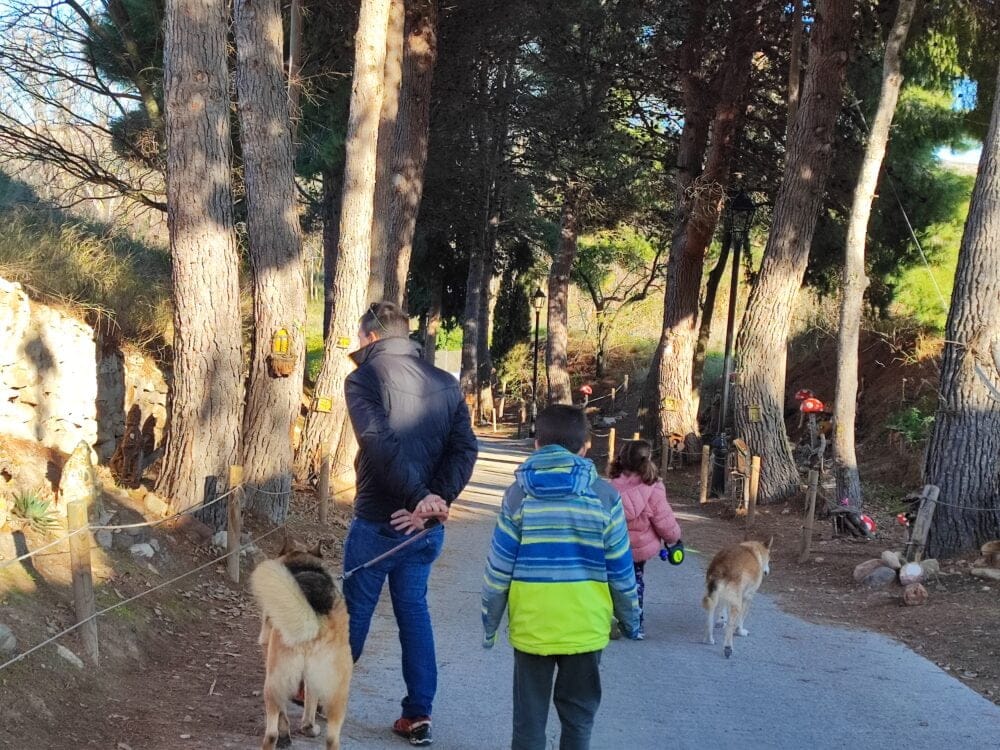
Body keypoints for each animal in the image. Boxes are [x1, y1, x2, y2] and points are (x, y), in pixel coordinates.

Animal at [249, 540, 352, 750]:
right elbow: (310, 702)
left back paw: (281, 736)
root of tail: (311, 619)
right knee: (332, 739)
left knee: (271, 733)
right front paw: (309, 727)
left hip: (273, 684)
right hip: (339, 691)